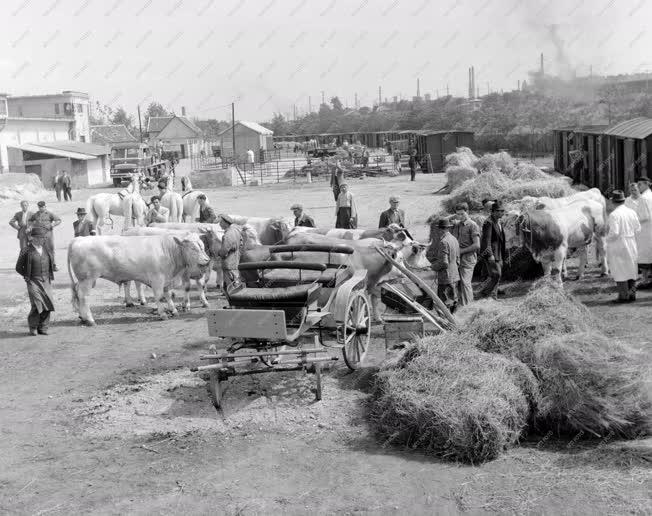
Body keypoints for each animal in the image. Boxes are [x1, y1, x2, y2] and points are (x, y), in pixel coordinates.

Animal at [67, 232, 209, 324]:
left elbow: (168, 295)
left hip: (83, 280)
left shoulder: (166, 280)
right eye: (193, 248)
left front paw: (174, 310)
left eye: (202, 246)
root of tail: (78, 239)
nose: (207, 260)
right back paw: (90, 320)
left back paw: (83, 317)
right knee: (83, 297)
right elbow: (159, 297)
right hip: (88, 279)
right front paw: (163, 314)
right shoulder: (157, 279)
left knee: (77, 295)